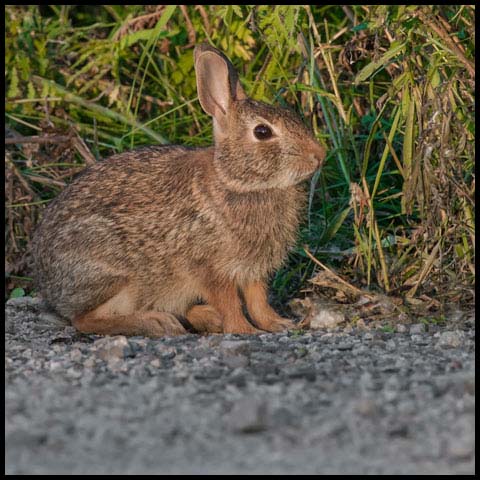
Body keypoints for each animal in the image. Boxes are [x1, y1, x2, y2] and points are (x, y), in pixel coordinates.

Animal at [31, 44, 326, 338]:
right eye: (262, 132)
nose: (319, 155)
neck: (237, 181)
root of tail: (50, 288)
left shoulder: (252, 270)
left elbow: (258, 300)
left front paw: (278, 324)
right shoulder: (208, 268)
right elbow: (229, 302)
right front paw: (244, 330)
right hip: (116, 276)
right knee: (84, 320)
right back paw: (157, 322)